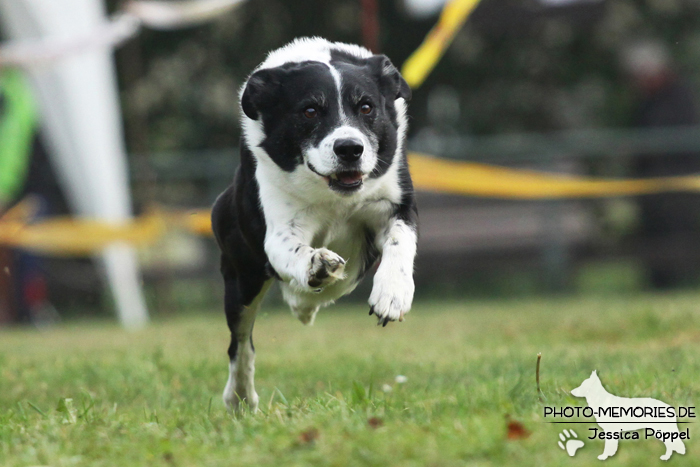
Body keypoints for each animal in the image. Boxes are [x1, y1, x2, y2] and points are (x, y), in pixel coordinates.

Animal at [211, 39, 418, 414]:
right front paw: (316, 264)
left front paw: (392, 295)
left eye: (366, 107)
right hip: (241, 275)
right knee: (241, 344)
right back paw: (240, 398)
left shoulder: (396, 201)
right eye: (309, 111)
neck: (334, 196)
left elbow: (400, 240)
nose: (349, 148)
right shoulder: (279, 225)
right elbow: (291, 248)